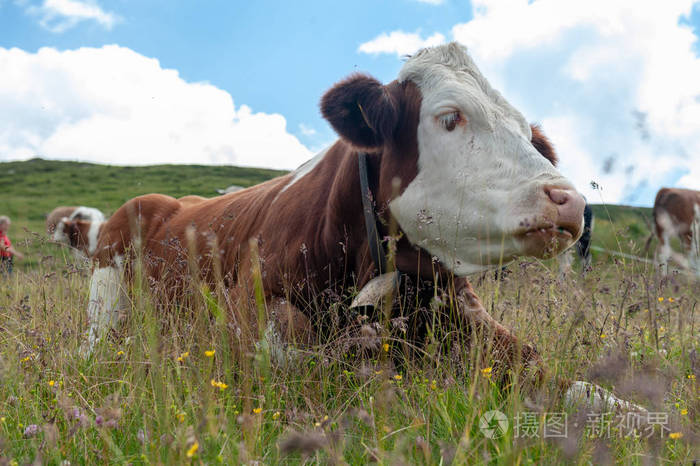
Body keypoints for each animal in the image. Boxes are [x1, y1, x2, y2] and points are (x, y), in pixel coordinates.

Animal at [85, 43, 644, 412]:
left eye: (528, 134)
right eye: (450, 117)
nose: (570, 201)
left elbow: (561, 378)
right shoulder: (250, 317)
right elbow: (301, 360)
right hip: (109, 279)